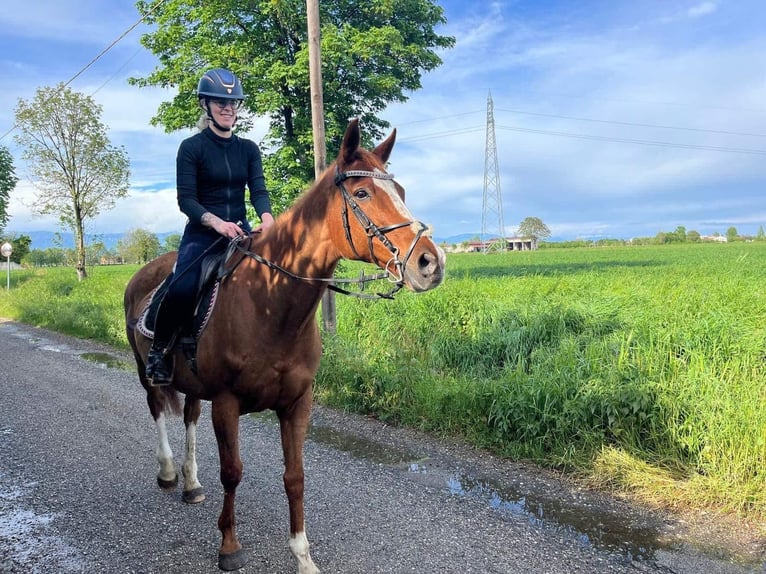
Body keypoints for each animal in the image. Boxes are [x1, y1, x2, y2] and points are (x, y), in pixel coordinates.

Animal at [124, 119, 448, 572]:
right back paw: (170, 472)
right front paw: (229, 546)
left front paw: (303, 555)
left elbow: (295, 477)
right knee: (157, 409)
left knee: (188, 416)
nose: (431, 263)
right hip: (146, 371)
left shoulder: (297, 402)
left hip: (194, 384)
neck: (269, 302)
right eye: (363, 193)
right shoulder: (227, 403)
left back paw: (191, 483)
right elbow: (233, 472)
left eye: (399, 191)